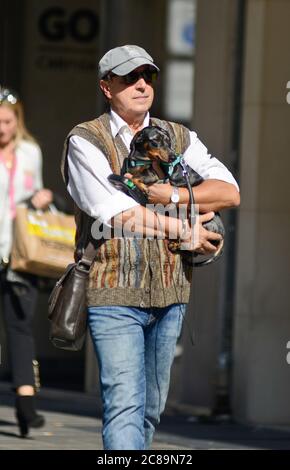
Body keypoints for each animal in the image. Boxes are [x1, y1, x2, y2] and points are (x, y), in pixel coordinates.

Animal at [109, 125, 224, 266]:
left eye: (168, 141)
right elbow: (130, 176)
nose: (173, 157)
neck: (140, 160)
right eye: (155, 140)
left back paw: (176, 244)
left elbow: (137, 177)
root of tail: (221, 233)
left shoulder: (152, 175)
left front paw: (143, 187)